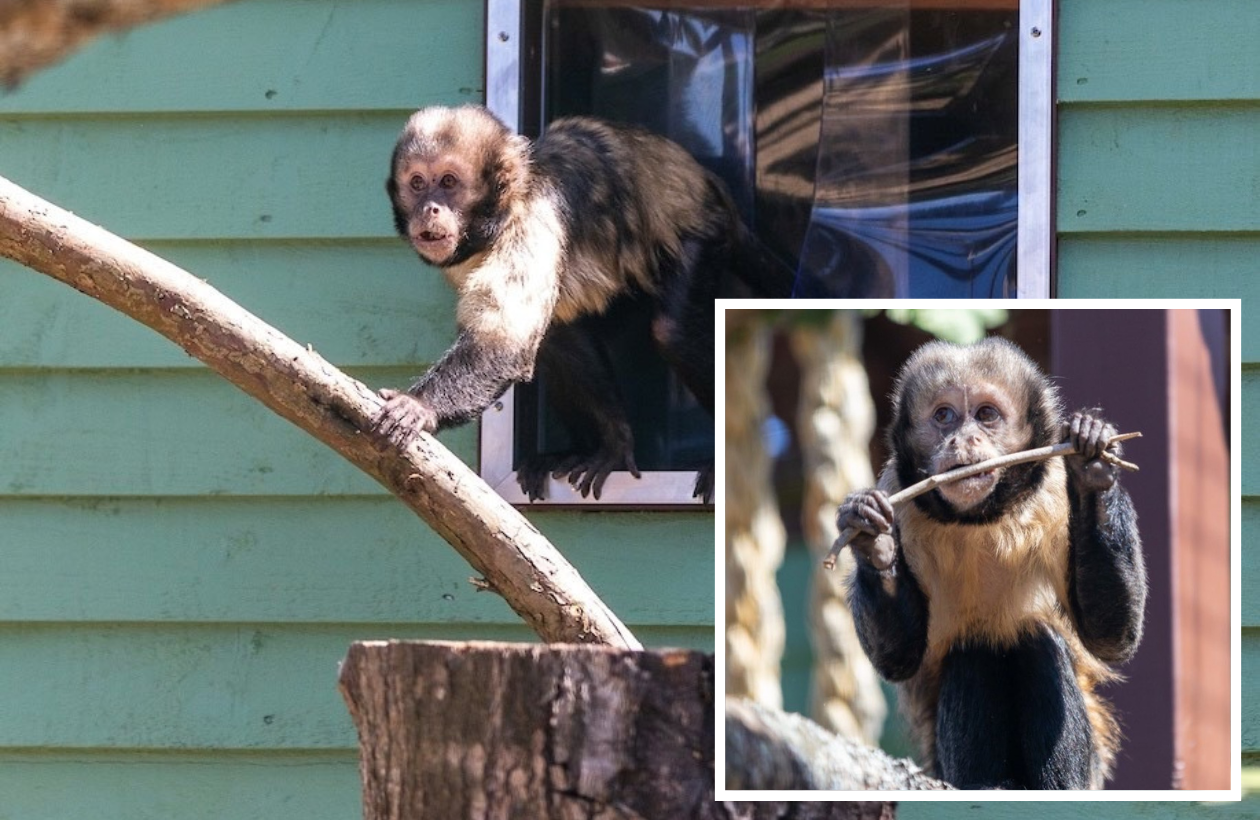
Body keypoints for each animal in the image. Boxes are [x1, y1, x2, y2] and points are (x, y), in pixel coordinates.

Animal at [372, 104, 792, 502]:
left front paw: (419, 407)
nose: (430, 208)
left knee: (673, 332)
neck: (504, 211)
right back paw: (607, 445)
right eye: (417, 183)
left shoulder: (534, 220)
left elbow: (504, 344)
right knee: (559, 337)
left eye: (448, 182)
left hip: (703, 232)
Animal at [836, 337, 1146, 789]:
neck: (980, 517)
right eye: (944, 416)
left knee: (1035, 639)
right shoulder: (896, 489)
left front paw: (1093, 469)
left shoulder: (1052, 486)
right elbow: (898, 658)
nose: (962, 440)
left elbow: (1112, 637)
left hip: (1094, 767)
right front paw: (873, 539)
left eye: (985, 415)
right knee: (976, 647)